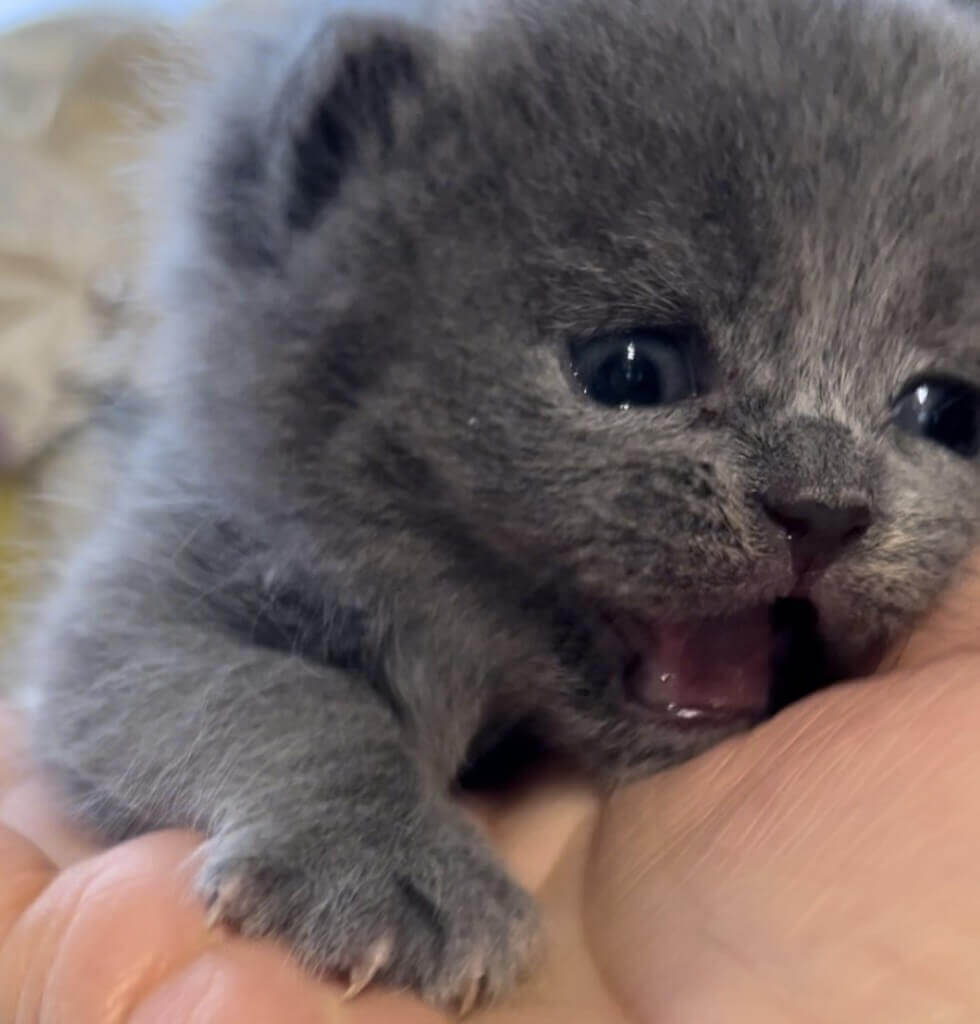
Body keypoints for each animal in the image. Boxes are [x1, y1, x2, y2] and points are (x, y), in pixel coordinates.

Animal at [26, 0, 978, 1011]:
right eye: (631, 371)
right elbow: (285, 694)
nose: (827, 505)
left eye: (948, 413)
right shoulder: (145, 596)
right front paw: (382, 864)